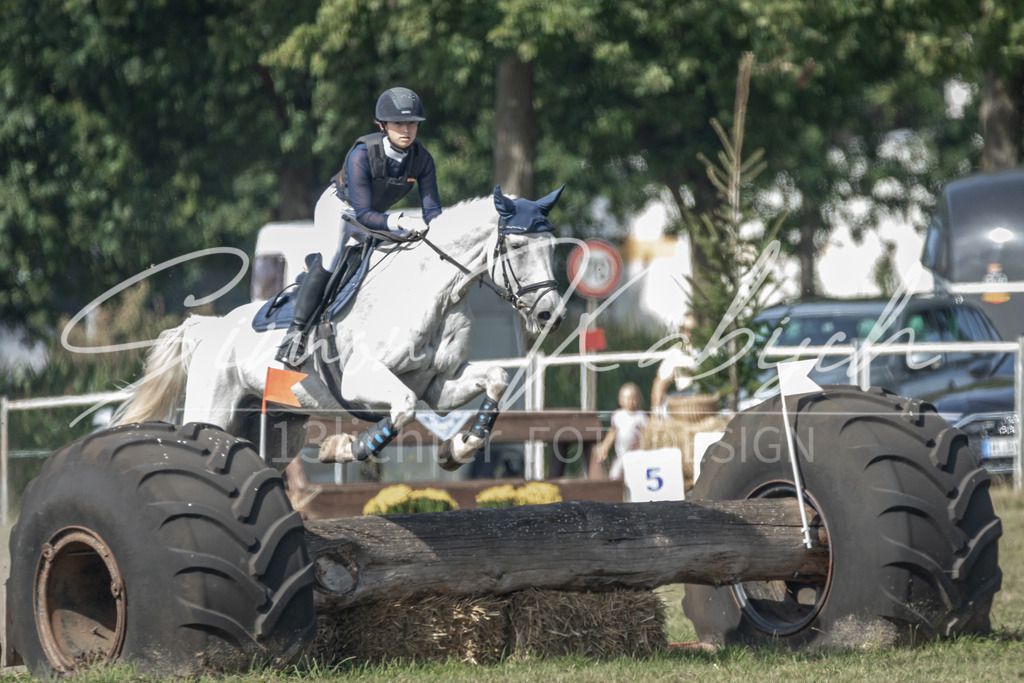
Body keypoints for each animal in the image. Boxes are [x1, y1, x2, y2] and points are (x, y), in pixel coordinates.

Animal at [112, 186, 567, 471]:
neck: (436, 293)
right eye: (517, 246)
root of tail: (211, 328)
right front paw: (345, 447)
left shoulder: (439, 384)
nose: (550, 315)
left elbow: (496, 378)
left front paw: (458, 450)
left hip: (276, 429)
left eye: (553, 247)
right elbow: (403, 407)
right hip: (215, 410)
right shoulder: (361, 379)